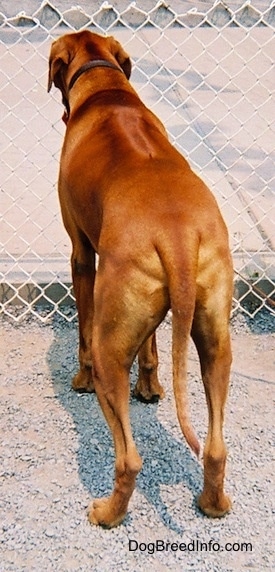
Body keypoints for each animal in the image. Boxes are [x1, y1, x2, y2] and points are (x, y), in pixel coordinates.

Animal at [48, 31, 234, 528]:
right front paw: (150, 388)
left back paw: (108, 513)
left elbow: (81, 327)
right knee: (216, 447)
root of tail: (176, 235)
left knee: (129, 458)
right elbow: (151, 344)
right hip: (215, 336)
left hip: (110, 346)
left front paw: (80, 379)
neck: (106, 87)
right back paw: (213, 503)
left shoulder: (82, 254)